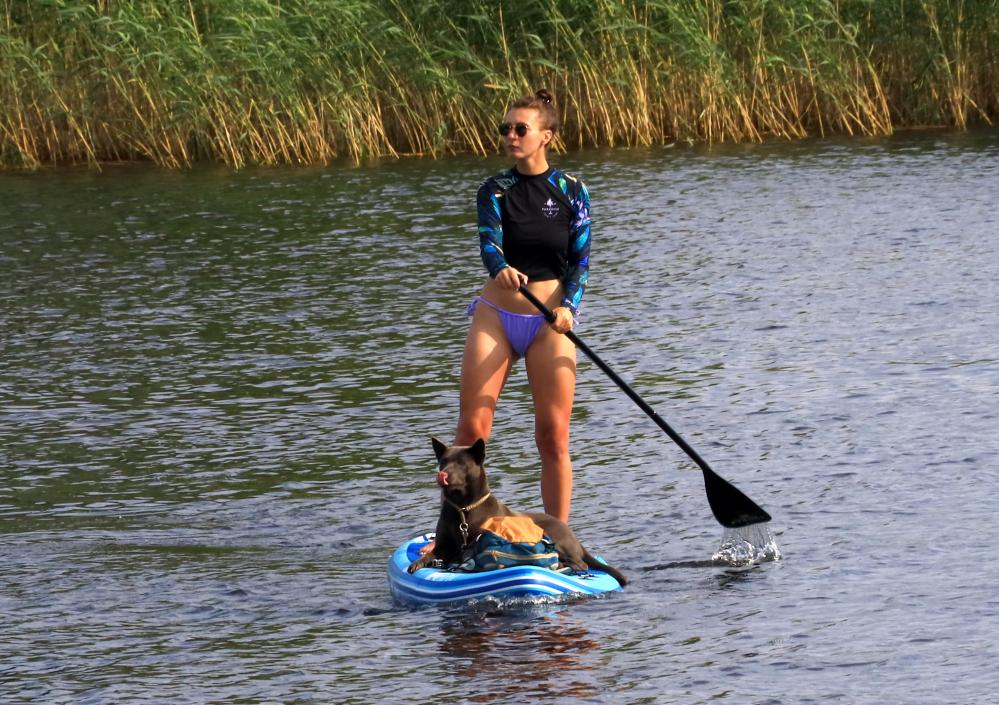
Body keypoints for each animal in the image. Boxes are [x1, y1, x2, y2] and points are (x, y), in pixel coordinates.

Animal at [407, 437, 627, 586]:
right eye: (443, 461)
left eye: (461, 464)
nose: (442, 475)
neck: (463, 509)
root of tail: (574, 537)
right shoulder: (445, 546)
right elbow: (433, 554)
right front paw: (418, 562)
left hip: (557, 540)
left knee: (580, 564)